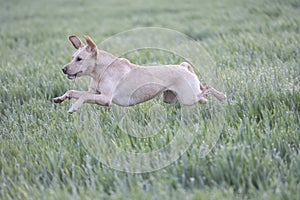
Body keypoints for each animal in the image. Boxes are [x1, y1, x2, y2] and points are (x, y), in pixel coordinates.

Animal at [52, 35, 225, 113]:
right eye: (72, 57)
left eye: (79, 59)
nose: (63, 69)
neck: (101, 71)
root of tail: (183, 67)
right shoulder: (94, 92)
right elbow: (74, 92)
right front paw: (60, 98)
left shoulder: (105, 98)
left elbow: (83, 96)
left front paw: (74, 107)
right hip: (173, 98)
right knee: (203, 97)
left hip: (189, 96)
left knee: (207, 89)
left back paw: (222, 97)